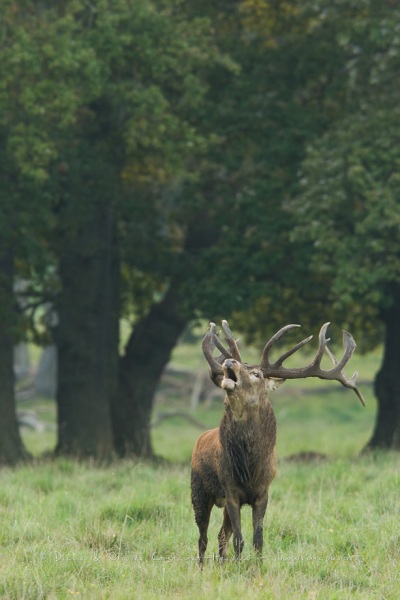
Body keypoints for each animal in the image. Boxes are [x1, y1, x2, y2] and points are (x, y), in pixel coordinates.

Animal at [191, 322, 366, 564]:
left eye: (256, 374)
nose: (229, 361)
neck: (249, 467)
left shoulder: (264, 491)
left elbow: (258, 539)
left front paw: (257, 566)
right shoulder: (231, 490)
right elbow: (239, 540)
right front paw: (240, 566)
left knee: (220, 536)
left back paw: (222, 565)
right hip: (199, 489)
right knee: (203, 539)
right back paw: (202, 568)